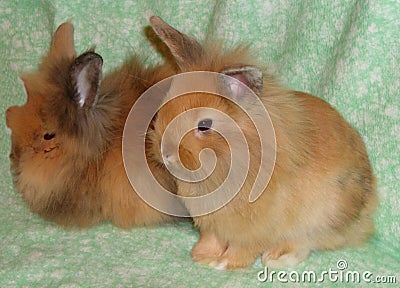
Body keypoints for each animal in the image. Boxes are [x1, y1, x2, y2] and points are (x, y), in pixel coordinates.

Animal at [148, 16, 380, 270]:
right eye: (164, 108)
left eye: (204, 125)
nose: (166, 154)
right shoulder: (213, 223)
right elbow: (212, 239)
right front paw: (202, 257)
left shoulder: (254, 228)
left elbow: (243, 248)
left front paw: (225, 264)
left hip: (323, 216)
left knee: (305, 243)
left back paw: (276, 258)